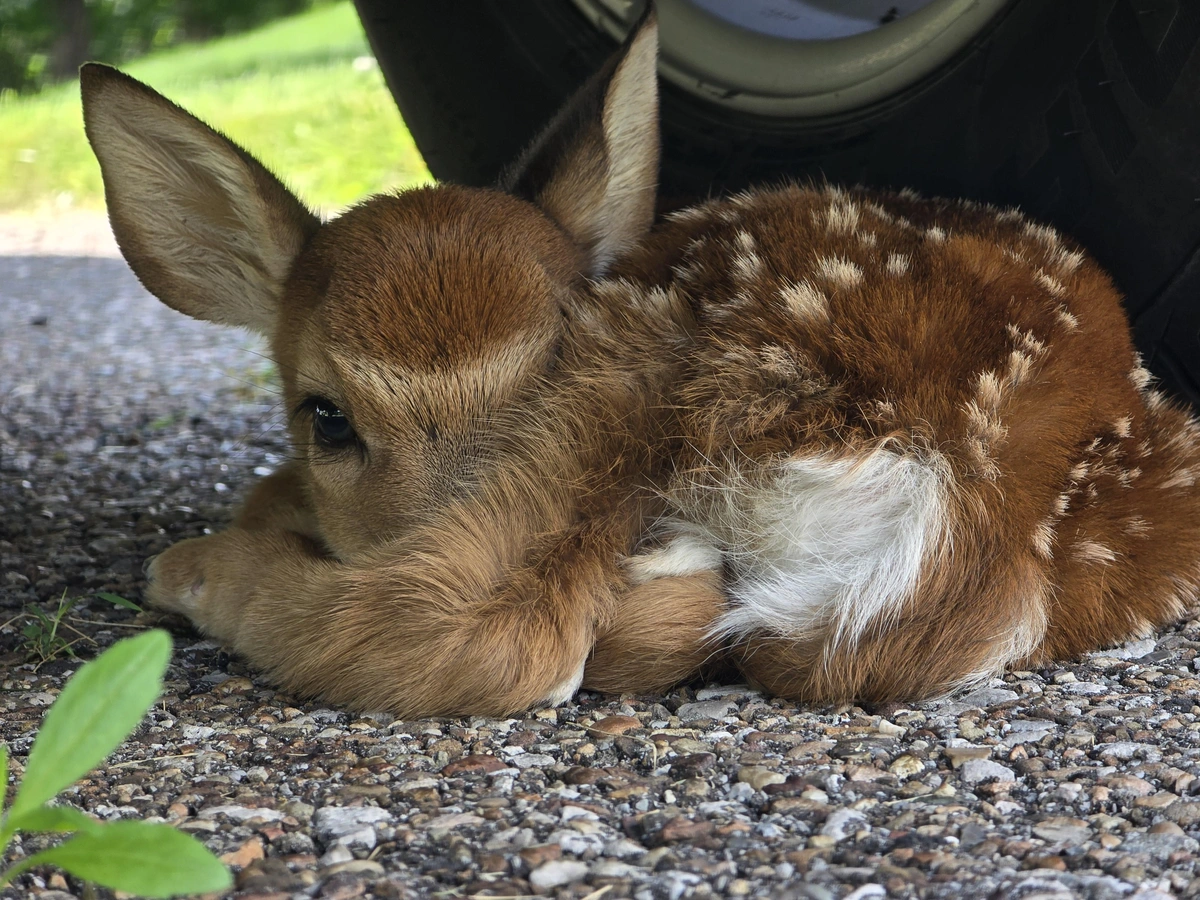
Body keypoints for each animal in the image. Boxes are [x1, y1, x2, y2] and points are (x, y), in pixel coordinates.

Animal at [81, 13, 1200, 718]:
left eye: (537, 378)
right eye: (327, 415)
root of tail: (976, 508)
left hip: (658, 356)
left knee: (490, 636)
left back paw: (197, 569)